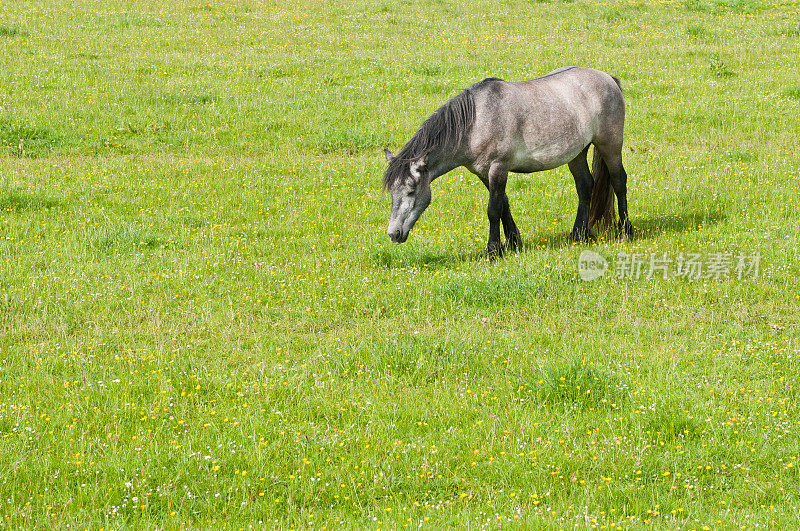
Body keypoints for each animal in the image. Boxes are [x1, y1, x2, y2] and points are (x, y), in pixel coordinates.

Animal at [384, 66, 636, 258]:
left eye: (411, 191)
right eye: (392, 193)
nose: (393, 234)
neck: (477, 121)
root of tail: (608, 78)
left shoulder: (498, 168)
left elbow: (493, 209)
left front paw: (493, 250)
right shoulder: (484, 172)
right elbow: (503, 203)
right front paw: (514, 243)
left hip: (610, 146)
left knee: (618, 181)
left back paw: (625, 231)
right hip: (577, 153)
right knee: (585, 186)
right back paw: (579, 235)